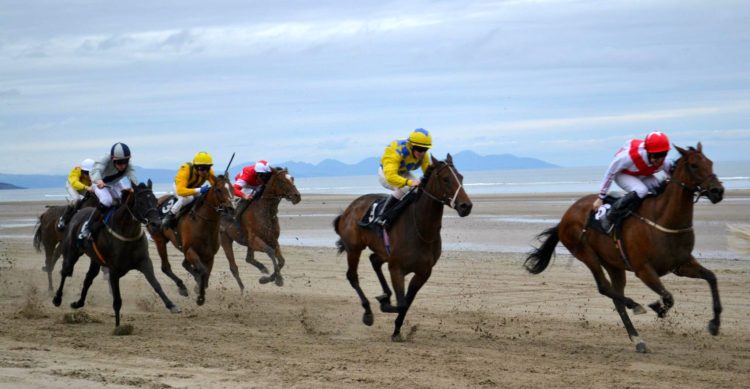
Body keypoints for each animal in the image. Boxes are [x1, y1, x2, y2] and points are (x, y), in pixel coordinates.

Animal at [52, 180, 181, 326]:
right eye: (141, 202)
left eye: (155, 200)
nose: (157, 224)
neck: (127, 234)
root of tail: (79, 213)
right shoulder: (113, 270)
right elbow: (117, 300)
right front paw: (118, 326)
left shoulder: (144, 262)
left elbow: (156, 284)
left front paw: (172, 305)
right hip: (72, 252)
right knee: (65, 272)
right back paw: (57, 298)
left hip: (95, 260)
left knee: (88, 278)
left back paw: (78, 303)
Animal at [149, 174, 236, 304]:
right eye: (218, 190)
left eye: (232, 188)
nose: (231, 209)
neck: (202, 222)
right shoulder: (190, 251)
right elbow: (203, 272)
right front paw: (200, 296)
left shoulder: (209, 255)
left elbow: (206, 273)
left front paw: (199, 286)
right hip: (159, 239)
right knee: (165, 267)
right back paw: (182, 287)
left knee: (184, 264)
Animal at [334, 153, 470, 342]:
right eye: (446, 179)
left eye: (461, 177)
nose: (466, 206)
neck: (420, 228)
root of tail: (348, 210)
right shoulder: (396, 268)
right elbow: (402, 303)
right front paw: (385, 306)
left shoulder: (423, 272)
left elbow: (407, 302)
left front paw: (397, 330)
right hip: (354, 249)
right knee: (352, 276)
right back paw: (368, 312)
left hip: (381, 251)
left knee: (374, 260)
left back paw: (385, 294)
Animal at [524, 144, 724, 354]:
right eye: (694, 165)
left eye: (710, 162)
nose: (717, 191)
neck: (662, 219)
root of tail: (564, 218)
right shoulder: (644, 270)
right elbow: (668, 297)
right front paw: (658, 307)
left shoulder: (681, 264)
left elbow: (711, 277)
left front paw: (715, 324)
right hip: (587, 255)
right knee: (604, 287)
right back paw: (634, 306)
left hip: (613, 264)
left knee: (616, 298)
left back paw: (638, 339)